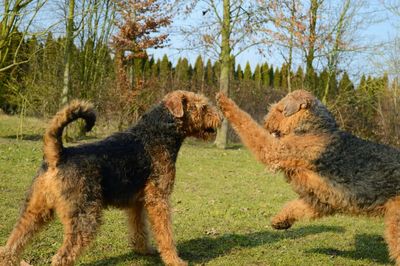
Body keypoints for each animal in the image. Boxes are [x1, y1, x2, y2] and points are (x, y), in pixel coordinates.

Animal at [0, 91, 222, 266]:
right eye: (203, 107)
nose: (220, 118)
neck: (158, 133)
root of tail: (58, 155)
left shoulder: (137, 202)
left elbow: (139, 229)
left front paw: (144, 250)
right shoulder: (159, 199)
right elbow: (165, 233)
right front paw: (175, 260)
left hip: (35, 209)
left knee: (11, 245)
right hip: (85, 217)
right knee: (62, 257)